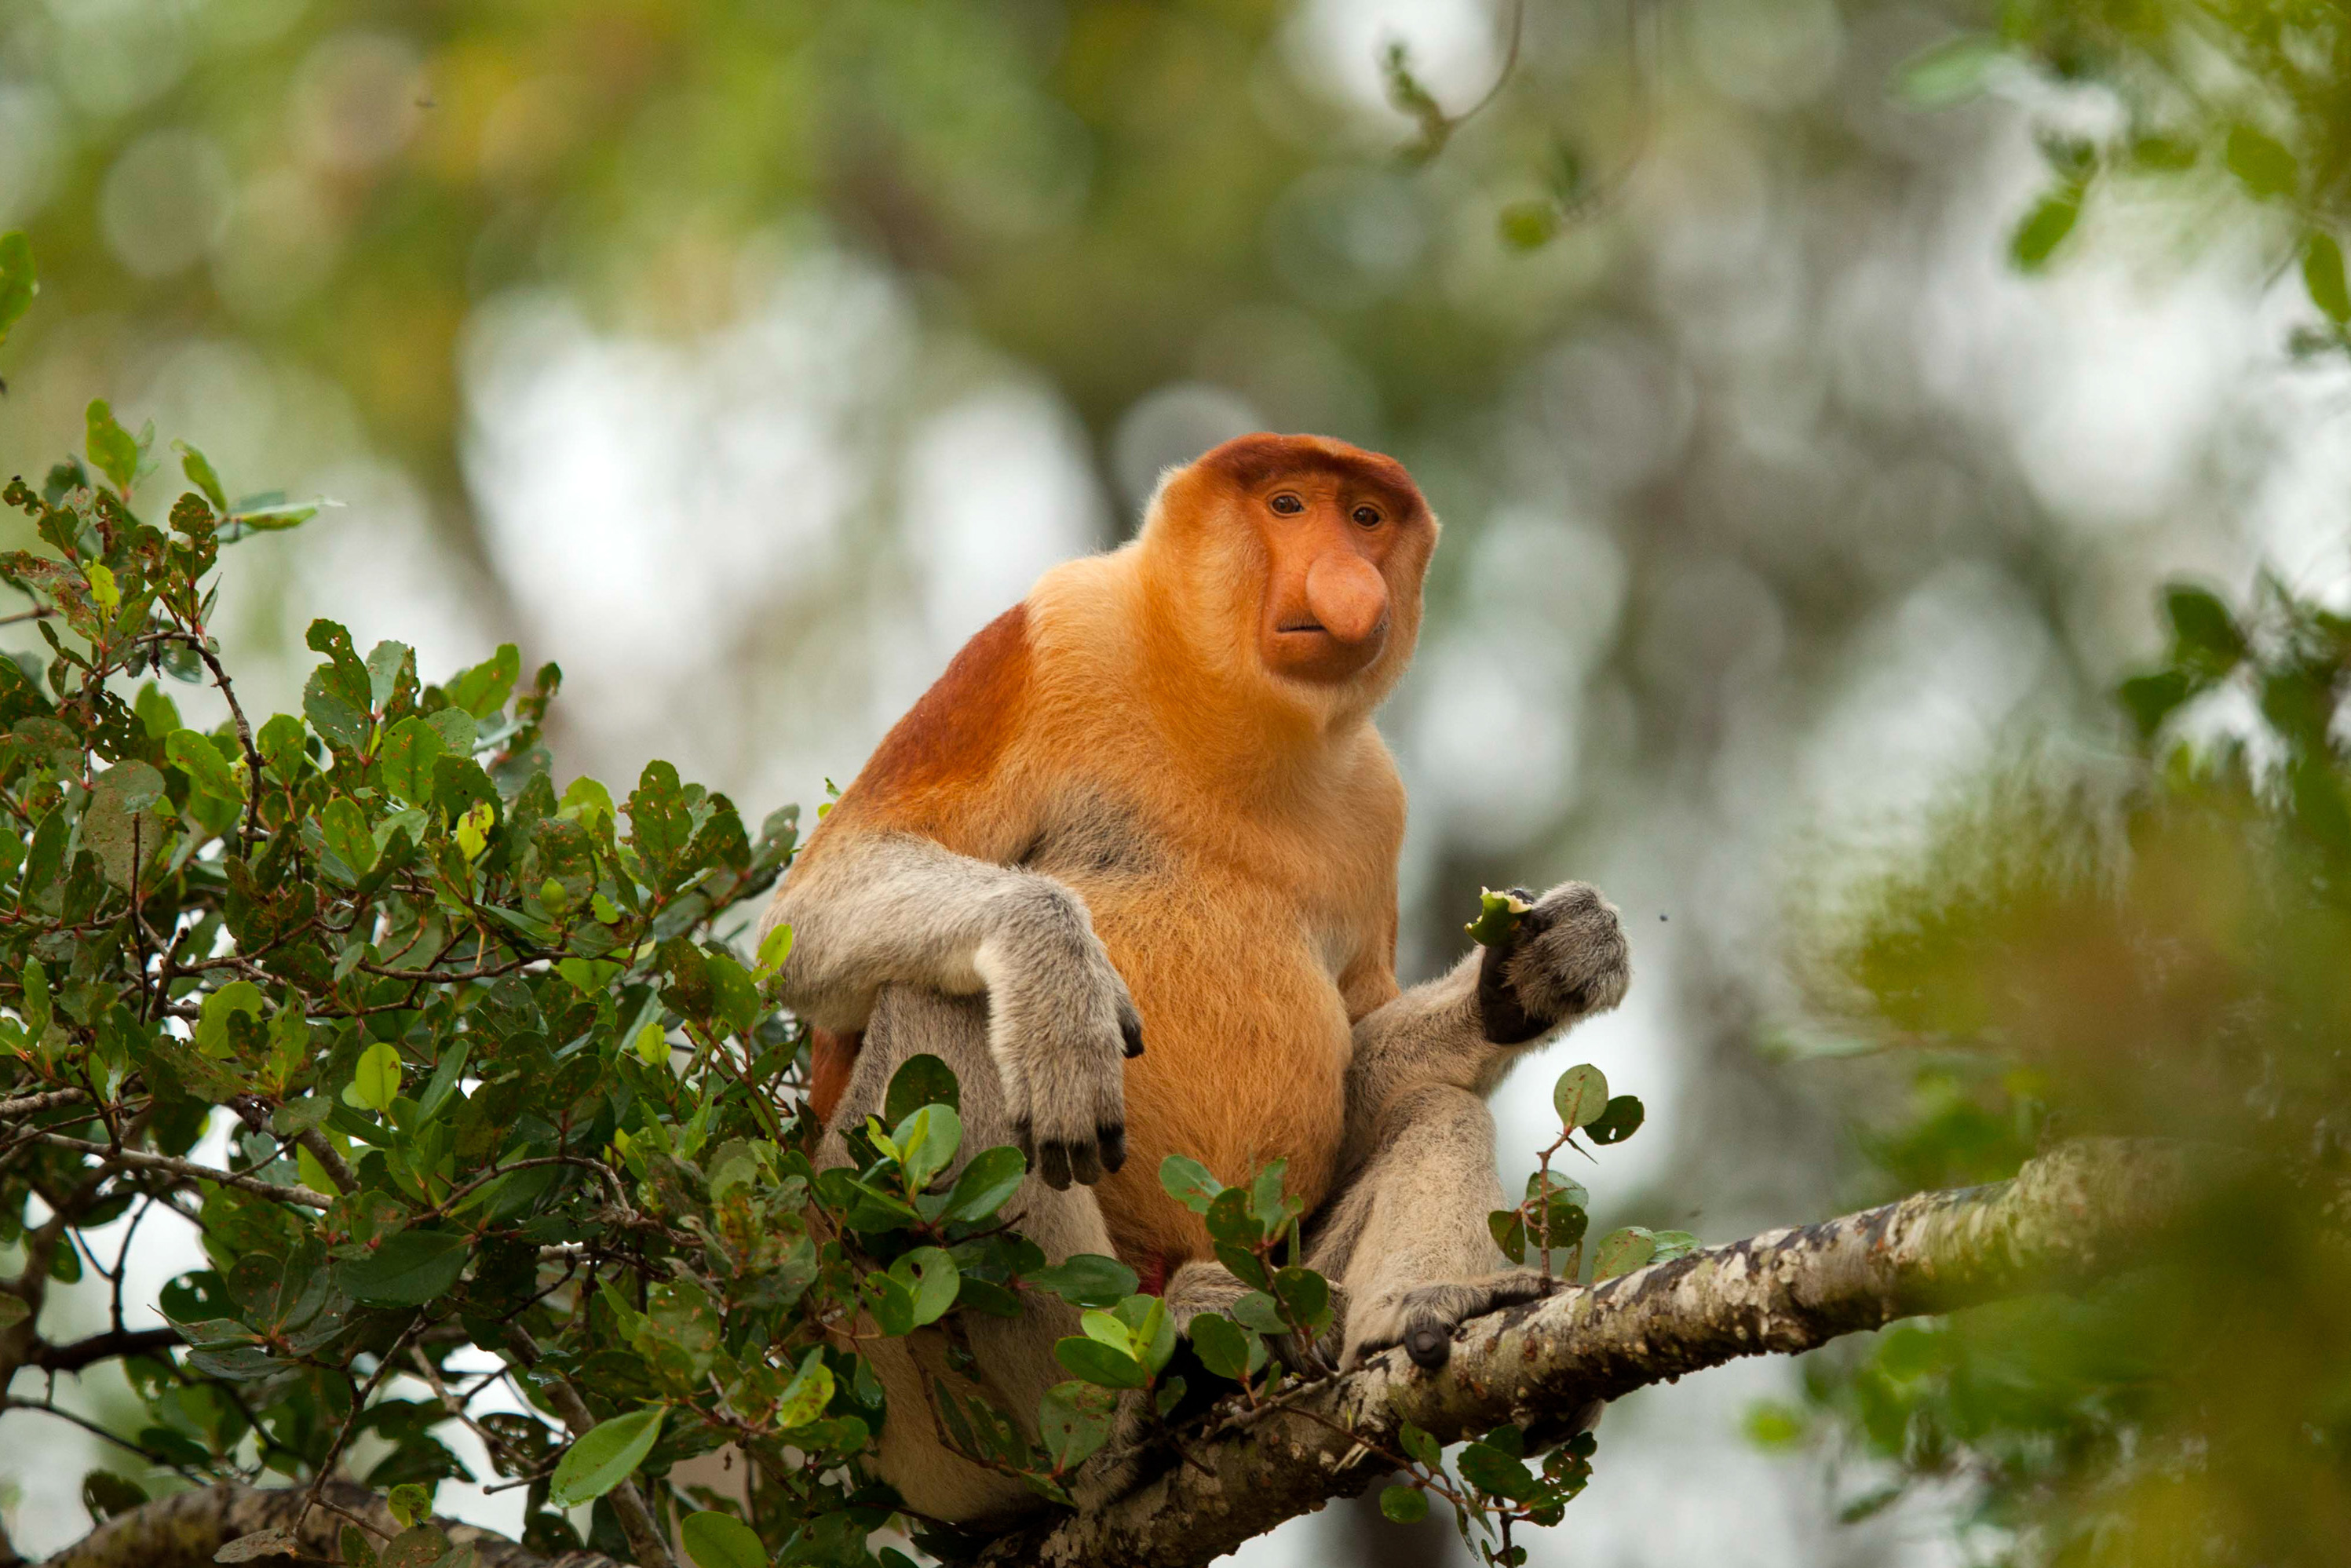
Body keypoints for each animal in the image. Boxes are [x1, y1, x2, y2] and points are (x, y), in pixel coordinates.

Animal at [760, 432, 1630, 1524]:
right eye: (1289, 504)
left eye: (1366, 520)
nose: (1348, 582)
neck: (1233, 714)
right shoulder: (1041, 645)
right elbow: (812, 911)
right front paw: (1060, 986)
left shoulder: (1377, 801)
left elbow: (1360, 1061)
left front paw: (1538, 964)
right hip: (903, 1384)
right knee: (945, 1014)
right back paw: (1121, 1423)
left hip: (1290, 1285)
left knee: (1438, 1112)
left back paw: (1418, 1316)